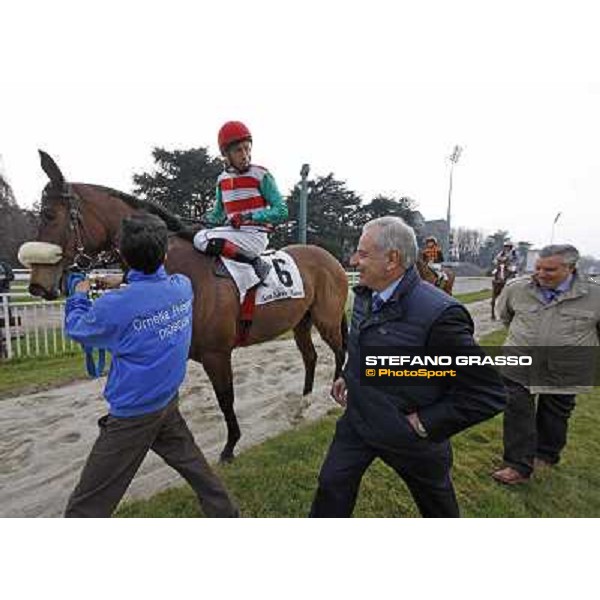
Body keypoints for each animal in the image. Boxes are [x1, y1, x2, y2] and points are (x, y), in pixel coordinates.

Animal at [21, 152, 346, 462]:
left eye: (49, 214)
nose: (37, 284)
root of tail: (331, 259)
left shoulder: (216, 354)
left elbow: (225, 398)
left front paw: (230, 446)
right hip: (301, 322)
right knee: (310, 357)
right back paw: (303, 404)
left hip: (327, 320)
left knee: (340, 350)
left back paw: (338, 392)